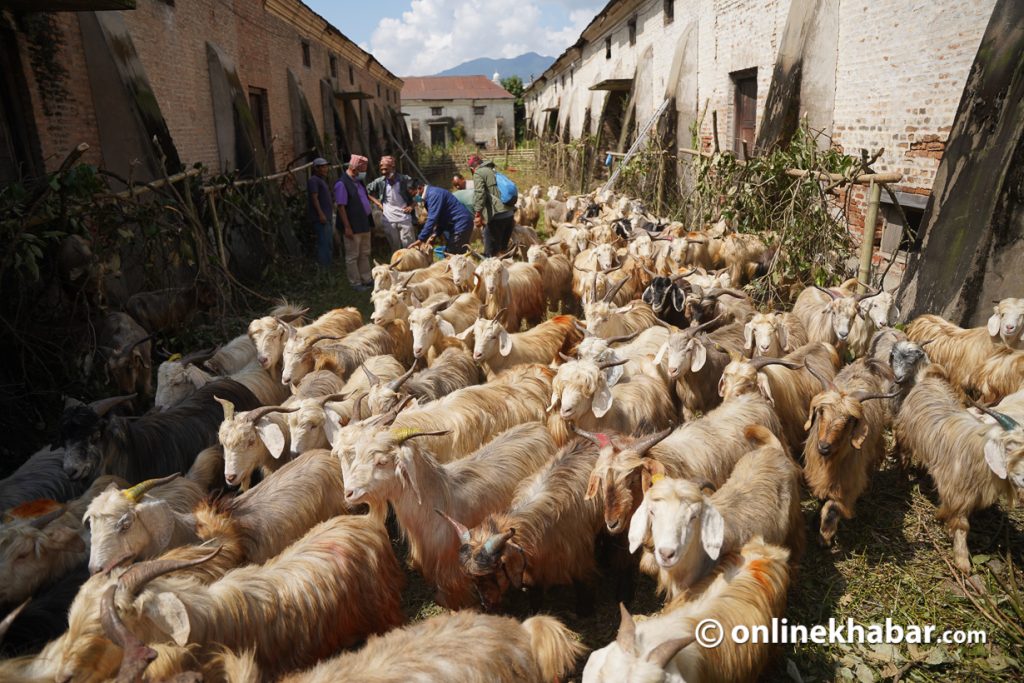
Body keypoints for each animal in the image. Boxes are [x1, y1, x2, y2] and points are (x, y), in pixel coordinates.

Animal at [342, 421, 552, 610]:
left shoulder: (453, 567)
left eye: (382, 462)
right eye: (357, 456)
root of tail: (539, 428)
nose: (349, 493)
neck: (436, 500)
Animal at [897, 366, 1024, 573]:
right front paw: (962, 561)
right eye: (1009, 447)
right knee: (903, 452)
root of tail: (927, 378)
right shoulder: (957, 493)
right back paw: (902, 476)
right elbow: (961, 525)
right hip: (904, 433)